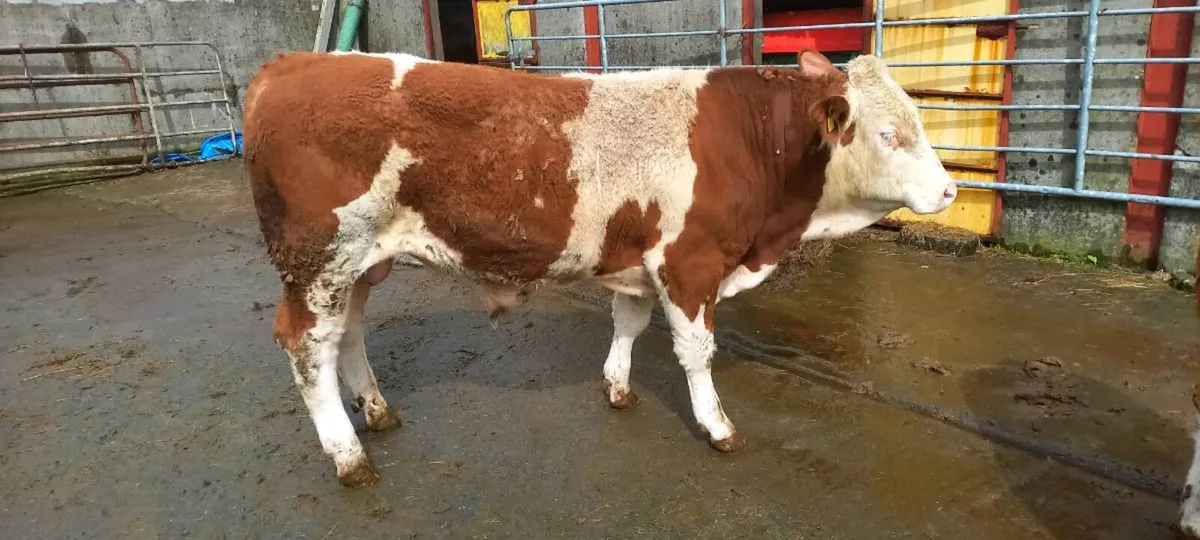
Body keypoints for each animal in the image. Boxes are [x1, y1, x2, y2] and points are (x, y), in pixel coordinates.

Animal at [242, 49, 958, 487]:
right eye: (890, 134)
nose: (951, 191)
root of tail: (286, 66)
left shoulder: (640, 263)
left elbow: (629, 325)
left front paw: (617, 387)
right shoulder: (689, 261)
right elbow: (697, 350)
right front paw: (717, 426)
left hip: (361, 264)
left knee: (347, 336)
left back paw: (377, 411)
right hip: (319, 259)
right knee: (306, 346)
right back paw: (348, 455)